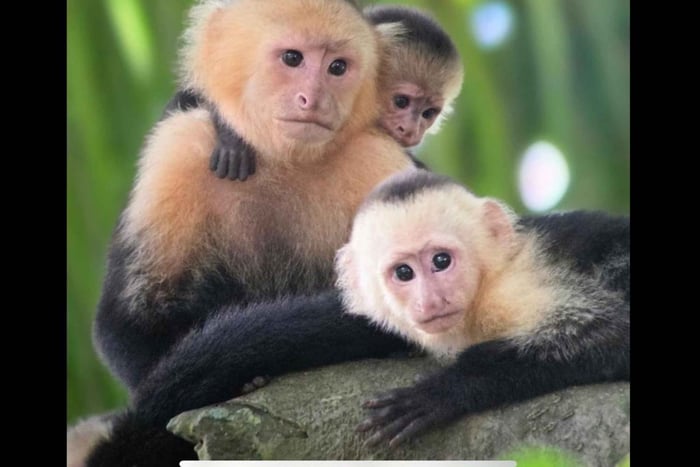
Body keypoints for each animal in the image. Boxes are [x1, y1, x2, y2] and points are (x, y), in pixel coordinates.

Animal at [85, 0, 416, 465]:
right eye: (293, 58)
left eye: (338, 67)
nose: (313, 98)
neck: (281, 159)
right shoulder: (178, 149)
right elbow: (126, 320)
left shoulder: (374, 159)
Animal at [334, 169, 629, 447]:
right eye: (404, 272)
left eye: (441, 260)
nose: (430, 300)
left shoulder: (510, 290)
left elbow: (610, 332)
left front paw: (442, 391)